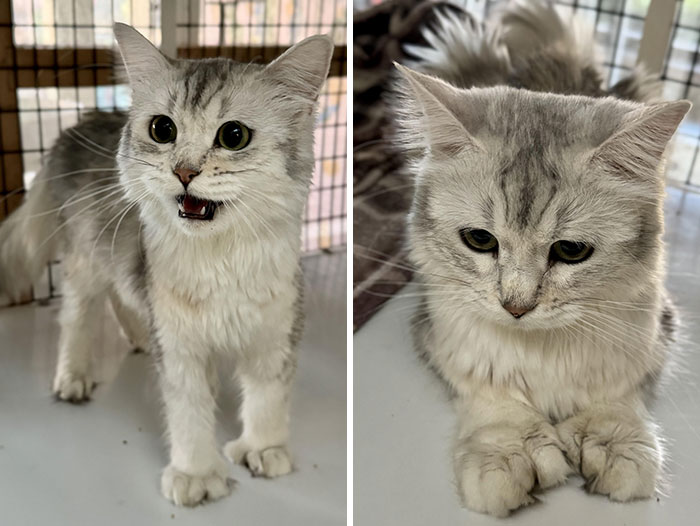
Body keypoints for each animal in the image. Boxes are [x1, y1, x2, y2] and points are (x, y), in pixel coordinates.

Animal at [0, 23, 334, 508]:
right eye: (163, 129)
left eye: (234, 136)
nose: (184, 172)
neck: (220, 260)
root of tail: (78, 123)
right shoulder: (179, 344)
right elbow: (188, 413)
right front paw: (196, 475)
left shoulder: (275, 332)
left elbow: (268, 399)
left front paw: (264, 449)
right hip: (86, 263)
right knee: (78, 318)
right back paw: (73, 377)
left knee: (121, 298)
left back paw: (139, 339)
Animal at [396, 0, 692, 520]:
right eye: (480, 240)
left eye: (571, 251)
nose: (516, 307)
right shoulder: (442, 336)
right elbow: (492, 396)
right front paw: (507, 451)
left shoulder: (654, 332)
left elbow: (616, 396)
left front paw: (614, 442)